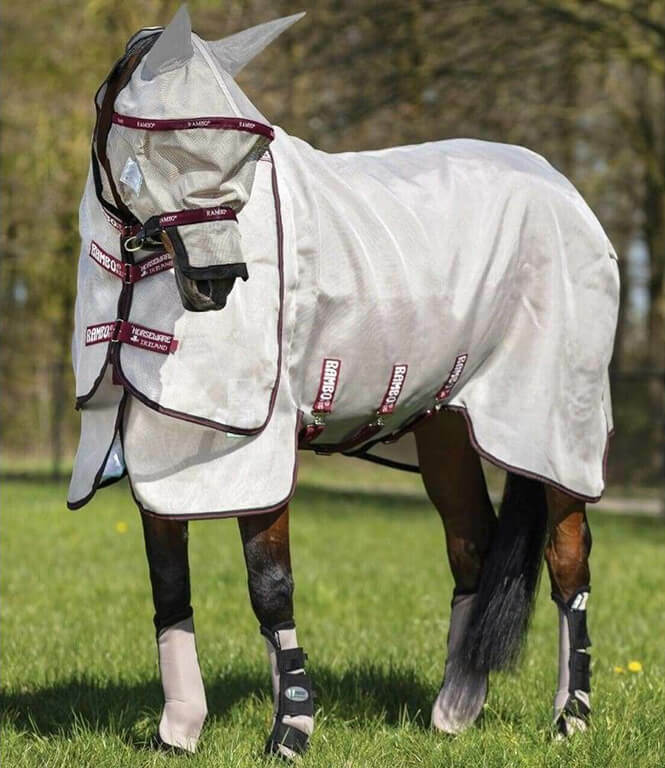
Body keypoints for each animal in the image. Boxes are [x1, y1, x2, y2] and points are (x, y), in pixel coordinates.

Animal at [69, 7, 619, 758]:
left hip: (553, 431)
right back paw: (454, 710)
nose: (216, 281)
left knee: (569, 561)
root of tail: (564, 189)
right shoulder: (162, 447)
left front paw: (290, 730)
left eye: (247, 150)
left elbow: (269, 584)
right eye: (164, 145)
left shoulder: (255, 443)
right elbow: (169, 587)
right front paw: (179, 733)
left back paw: (570, 719)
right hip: (445, 427)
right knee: (471, 544)